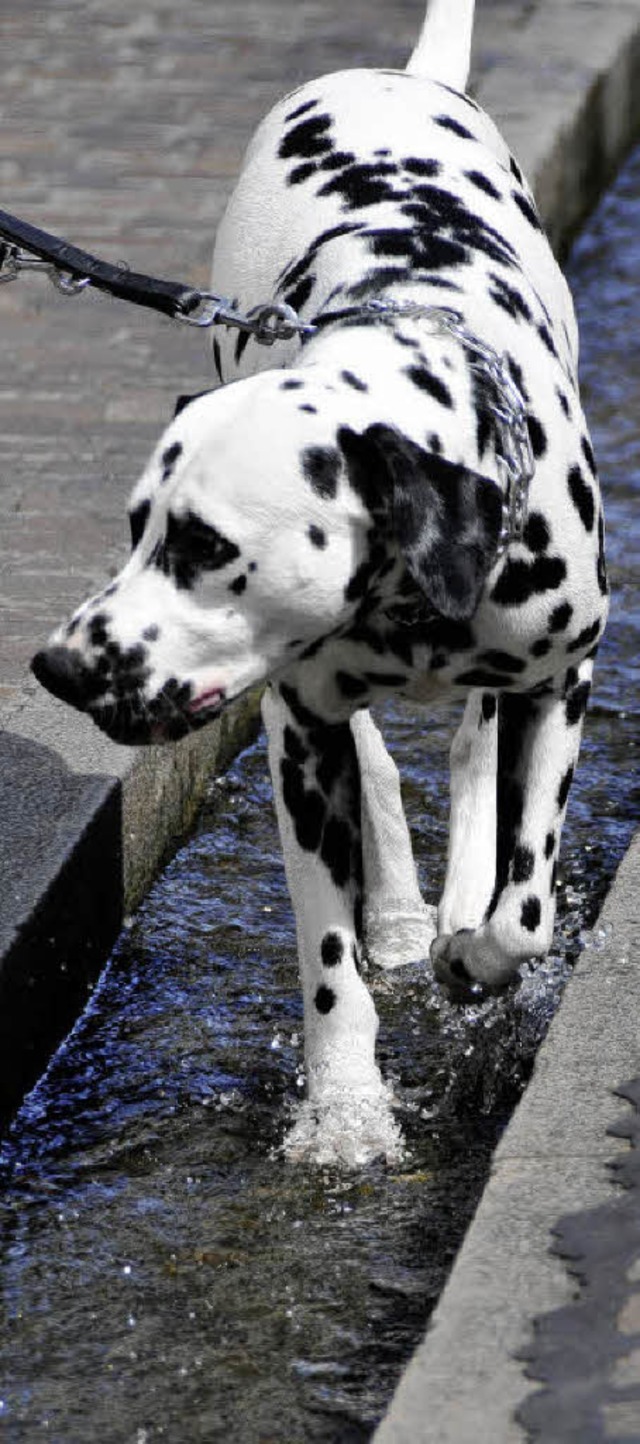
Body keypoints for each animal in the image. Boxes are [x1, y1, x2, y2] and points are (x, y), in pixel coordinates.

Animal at [31, 0, 612, 1160]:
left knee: (474, 753)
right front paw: (347, 1113)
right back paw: (400, 914)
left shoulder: (563, 680)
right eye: (134, 529)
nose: (59, 667)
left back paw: (453, 905)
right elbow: (329, 965)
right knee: (384, 765)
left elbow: (525, 907)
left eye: (205, 547)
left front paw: (475, 957)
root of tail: (402, 75)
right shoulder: (299, 738)